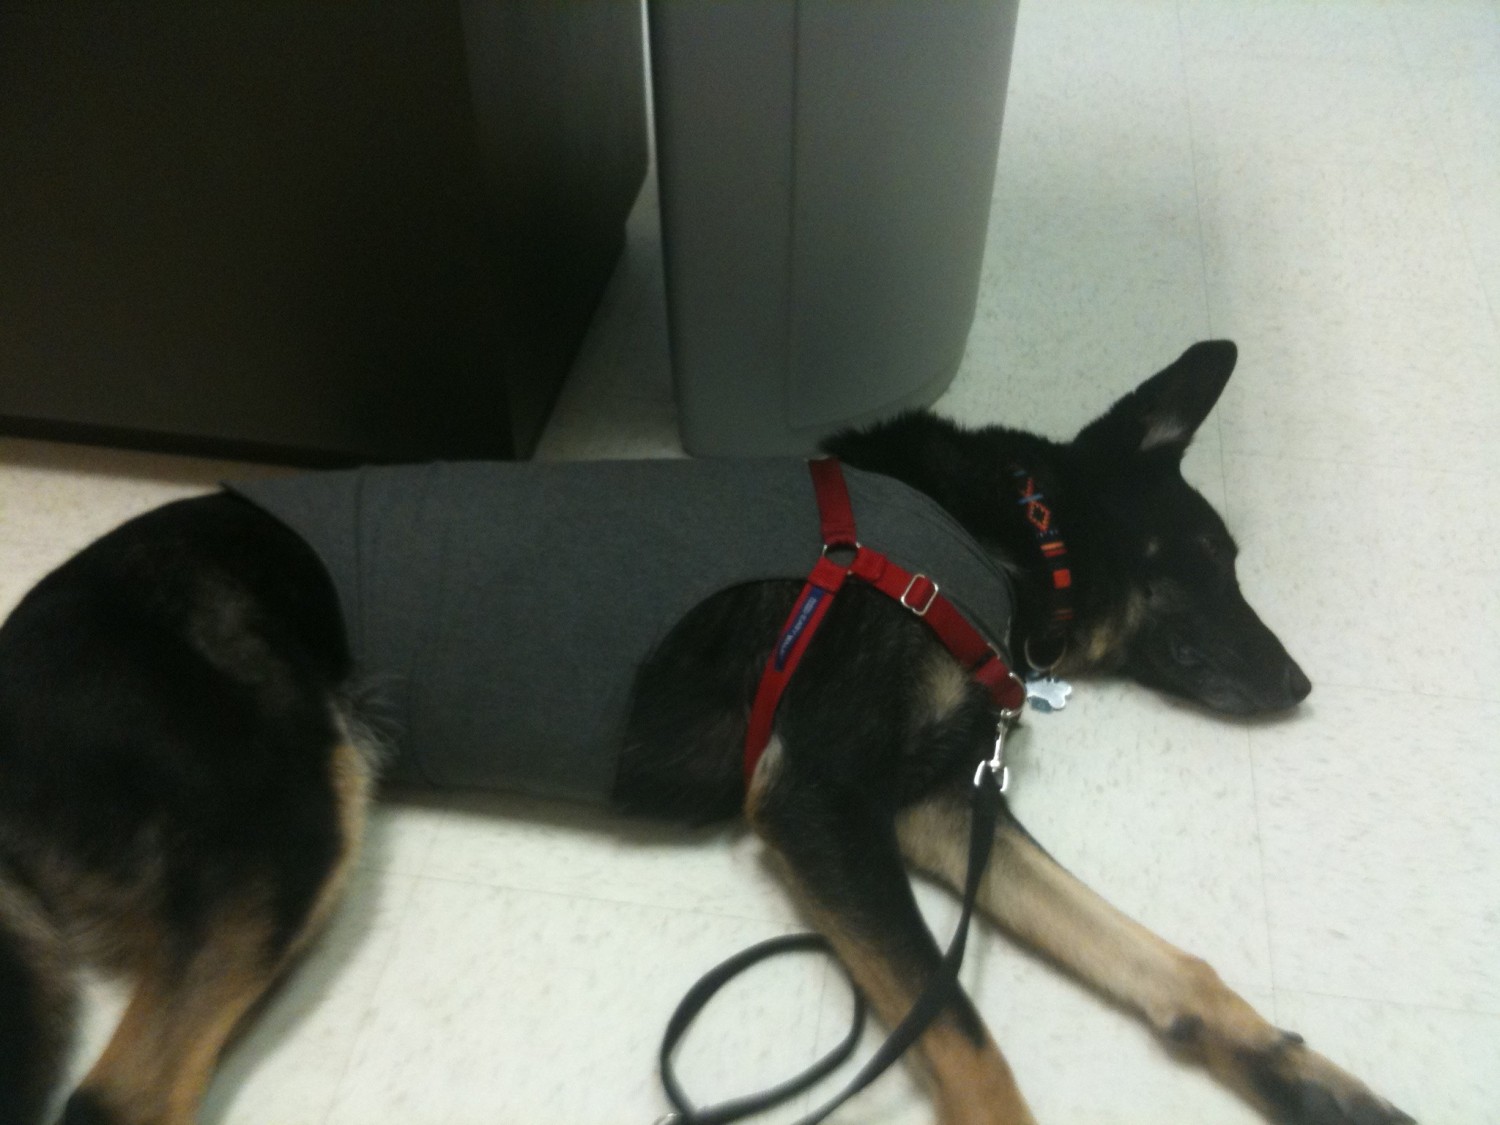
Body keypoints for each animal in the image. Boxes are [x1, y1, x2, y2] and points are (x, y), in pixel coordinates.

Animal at [0, 343, 1410, 1125]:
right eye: (1218, 563)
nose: (1301, 682)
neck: (1010, 532)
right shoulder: (824, 807)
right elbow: (965, 1037)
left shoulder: (935, 806)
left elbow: (1167, 968)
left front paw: (1318, 1085)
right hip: (293, 817)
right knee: (122, 1098)